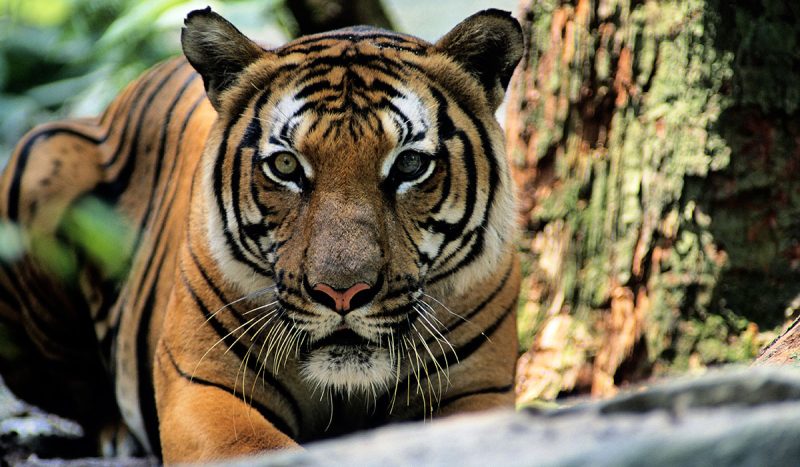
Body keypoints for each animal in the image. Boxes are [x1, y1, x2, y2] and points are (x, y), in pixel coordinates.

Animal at [0, 7, 523, 463]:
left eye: (410, 164)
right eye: (286, 166)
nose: (342, 294)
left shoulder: (479, 395)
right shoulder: (205, 389)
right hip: (38, 158)